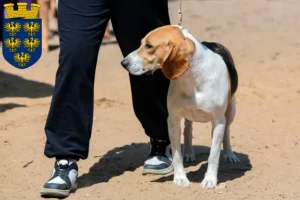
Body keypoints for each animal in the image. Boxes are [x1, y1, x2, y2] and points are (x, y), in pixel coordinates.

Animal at [120, 25, 240, 189]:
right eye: (141, 43)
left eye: (149, 46)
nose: (123, 63)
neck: (192, 79)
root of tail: (211, 43)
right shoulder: (173, 120)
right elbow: (177, 154)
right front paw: (180, 178)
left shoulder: (218, 122)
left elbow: (214, 155)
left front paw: (210, 180)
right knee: (188, 130)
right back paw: (189, 153)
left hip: (231, 110)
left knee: (227, 130)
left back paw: (229, 154)